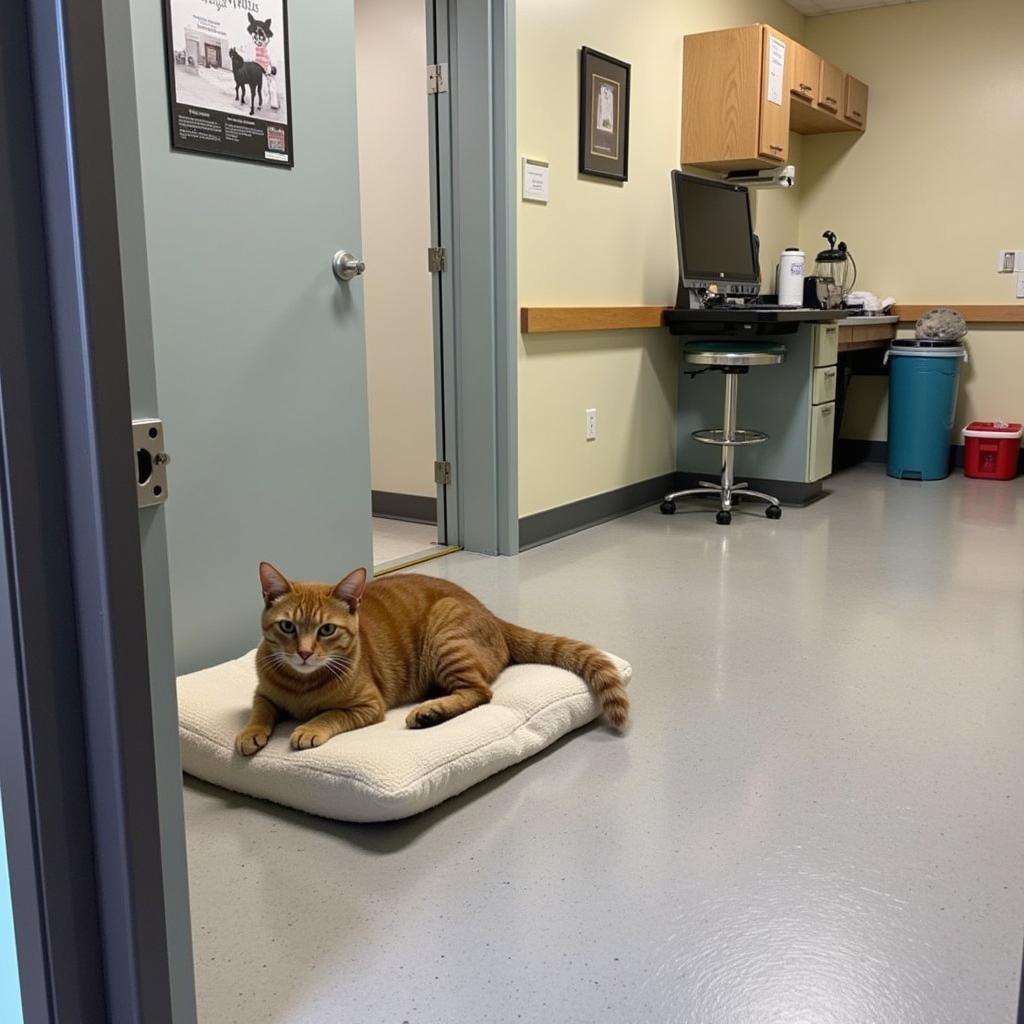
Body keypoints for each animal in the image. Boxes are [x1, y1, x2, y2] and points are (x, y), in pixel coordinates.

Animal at [234, 561, 626, 753]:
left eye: (326, 630)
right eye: (287, 626)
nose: (303, 652)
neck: (301, 685)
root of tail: (491, 613)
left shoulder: (368, 705)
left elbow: (330, 714)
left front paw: (309, 728)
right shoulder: (262, 693)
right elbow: (260, 712)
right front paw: (249, 734)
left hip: (445, 636)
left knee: (480, 692)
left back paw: (429, 712)